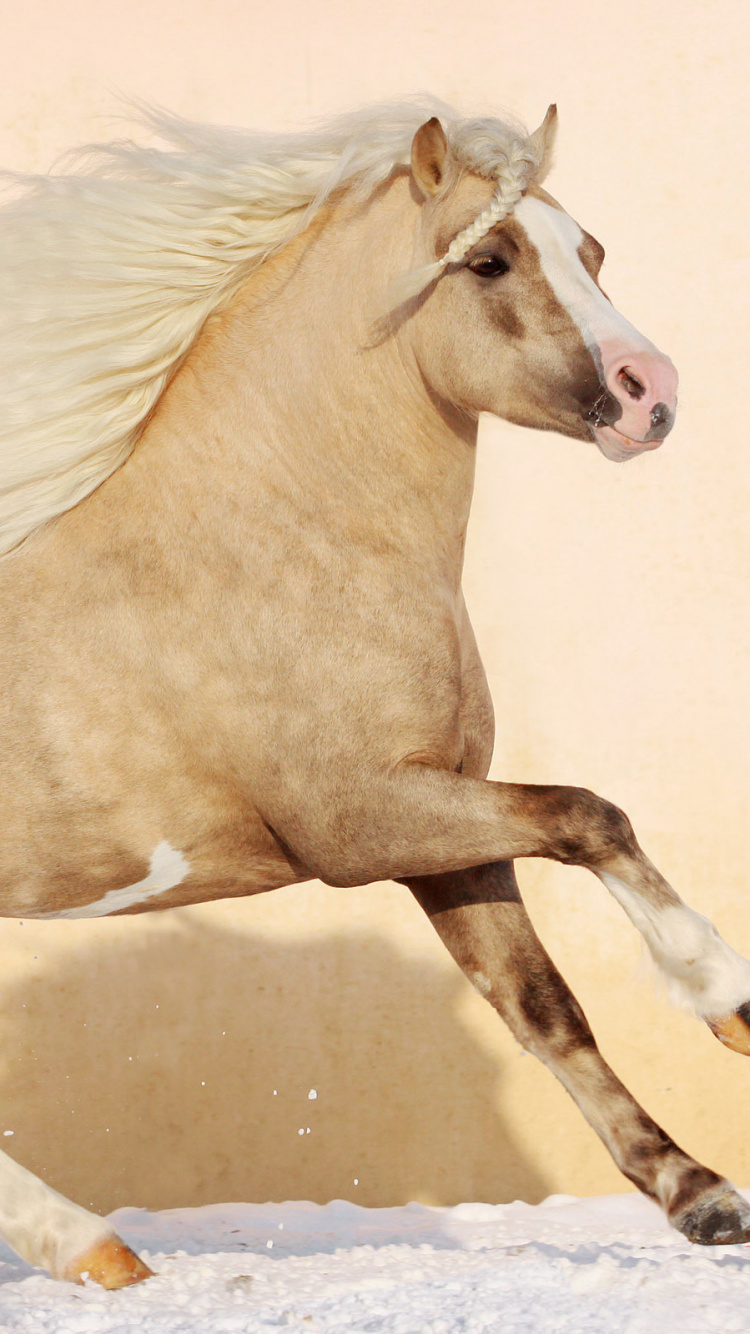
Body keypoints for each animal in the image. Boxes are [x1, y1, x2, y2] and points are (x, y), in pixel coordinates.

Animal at [1, 96, 749, 1290]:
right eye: (489, 260)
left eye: (591, 251)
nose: (655, 397)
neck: (281, 534)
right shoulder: (361, 824)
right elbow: (591, 813)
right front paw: (726, 999)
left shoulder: (443, 827)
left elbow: (545, 1005)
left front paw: (703, 1195)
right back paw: (93, 1247)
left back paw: (97, 1251)